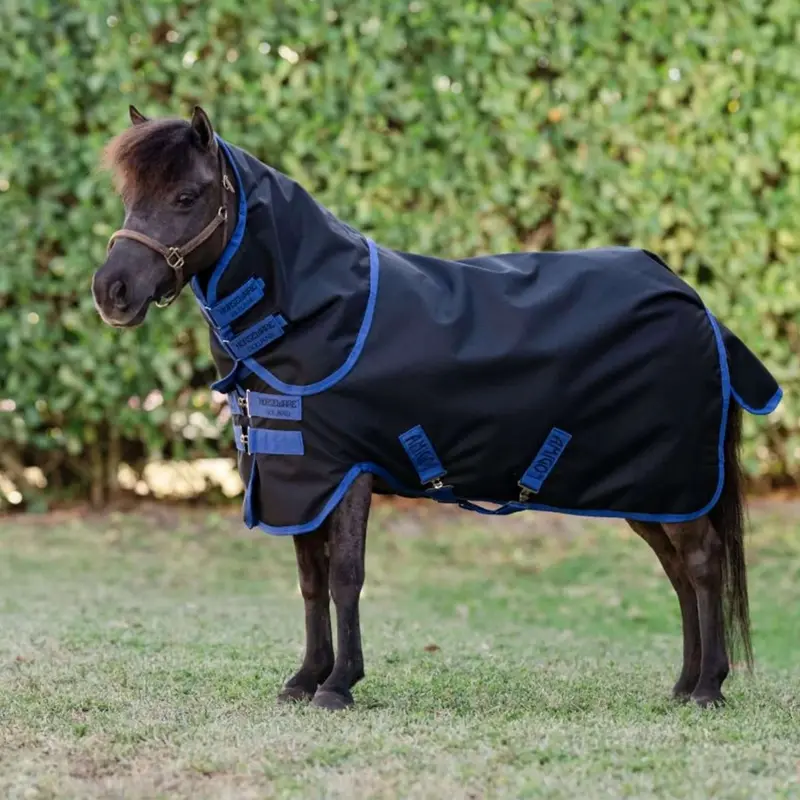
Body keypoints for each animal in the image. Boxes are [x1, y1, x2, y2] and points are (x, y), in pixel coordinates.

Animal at [91, 105, 782, 711]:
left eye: (187, 196)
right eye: (130, 197)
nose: (111, 292)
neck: (318, 314)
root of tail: (696, 305)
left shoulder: (347, 473)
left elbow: (345, 576)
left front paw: (338, 685)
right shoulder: (300, 478)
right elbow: (311, 579)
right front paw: (304, 679)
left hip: (672, 481)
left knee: (701, 564)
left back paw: (708, 688)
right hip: (648, 491)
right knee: (677, 571)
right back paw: (683, 684)